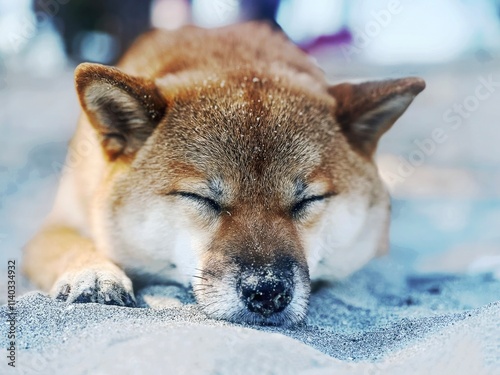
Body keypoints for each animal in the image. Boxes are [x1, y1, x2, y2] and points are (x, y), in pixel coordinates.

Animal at [21, 22, 424, 326]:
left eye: (308, 200)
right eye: (201, 198)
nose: (267, 291)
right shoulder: (56, 223)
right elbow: (68, 244)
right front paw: (92, 271)